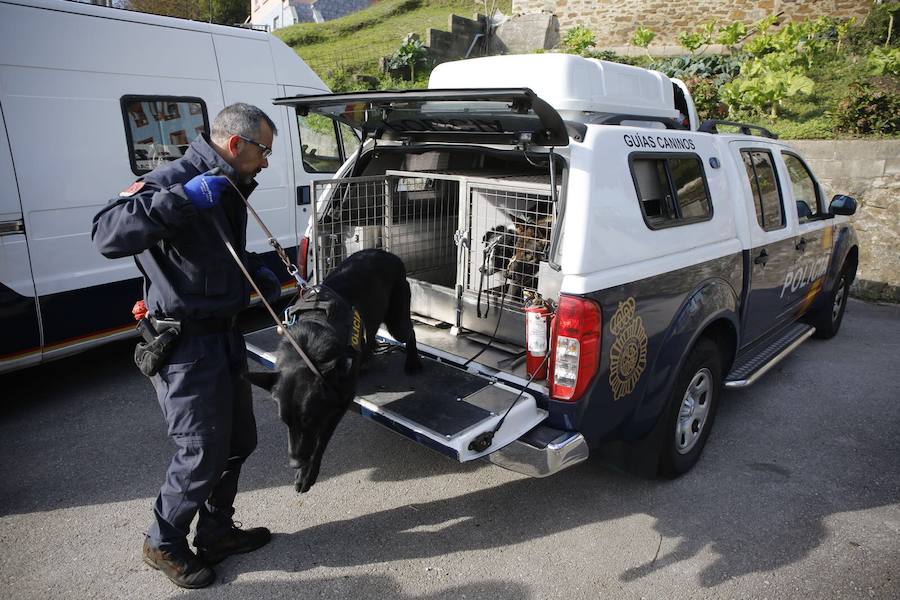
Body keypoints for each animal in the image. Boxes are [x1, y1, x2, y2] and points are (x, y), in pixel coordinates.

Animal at [246, 248, 422, 492]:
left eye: (308, 419)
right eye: (284, 421)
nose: (294, 463)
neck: (308, 350)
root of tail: (386, 253)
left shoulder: (339, 403)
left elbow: (320, 440)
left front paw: (307, 474)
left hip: (396, 321)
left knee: (410, 333)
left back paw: (413, 363)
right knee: (371, 336)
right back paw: (366, 361)